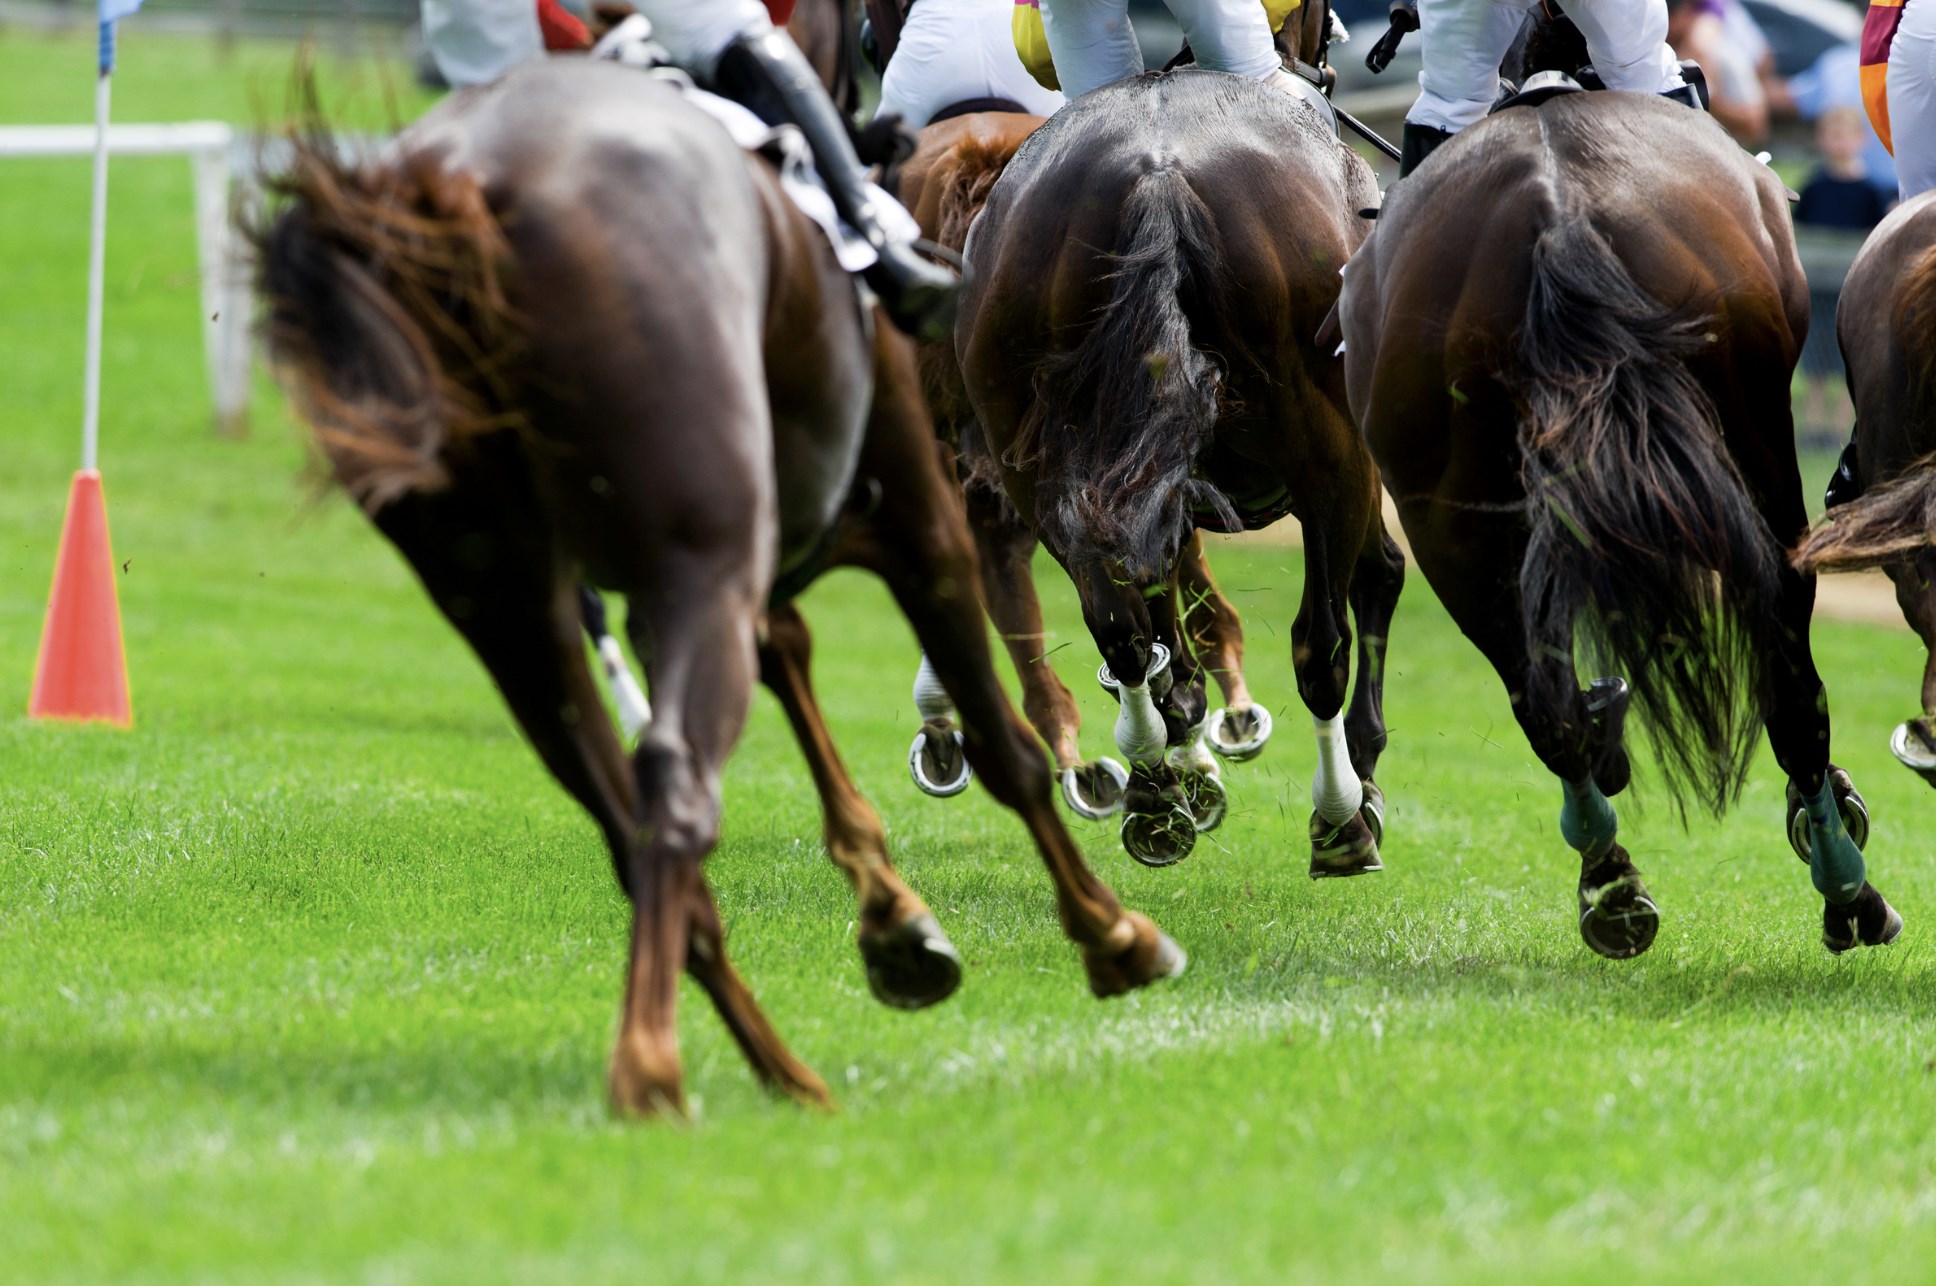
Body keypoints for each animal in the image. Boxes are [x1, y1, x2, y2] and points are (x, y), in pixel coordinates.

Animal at [249, 60, 1169, 1115]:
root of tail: (460, 189)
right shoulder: (909, 520)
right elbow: (1001, 743)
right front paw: (1108, 933)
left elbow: (798, 666)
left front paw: (894, 917)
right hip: (705, 560)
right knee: (678, 784)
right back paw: (653, 1065)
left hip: (511, 609)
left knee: (627, 825)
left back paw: (776, 1068)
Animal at [956, 67, 1401, 875]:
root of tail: (1159, 175)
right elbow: (1368, 585)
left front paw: (1182, 760)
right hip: (1331, 455)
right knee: (1325, 636)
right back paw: (1340, 819)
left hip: (1033, 467)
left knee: (1118, 623)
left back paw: (1156, 796)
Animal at [1339, 88, 1897, 952]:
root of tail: (1554, 212)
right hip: (1754, 457)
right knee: (1784, 680)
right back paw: (1839, 885)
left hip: (1444, 517)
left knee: (1545, 703)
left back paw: (1614, 879)